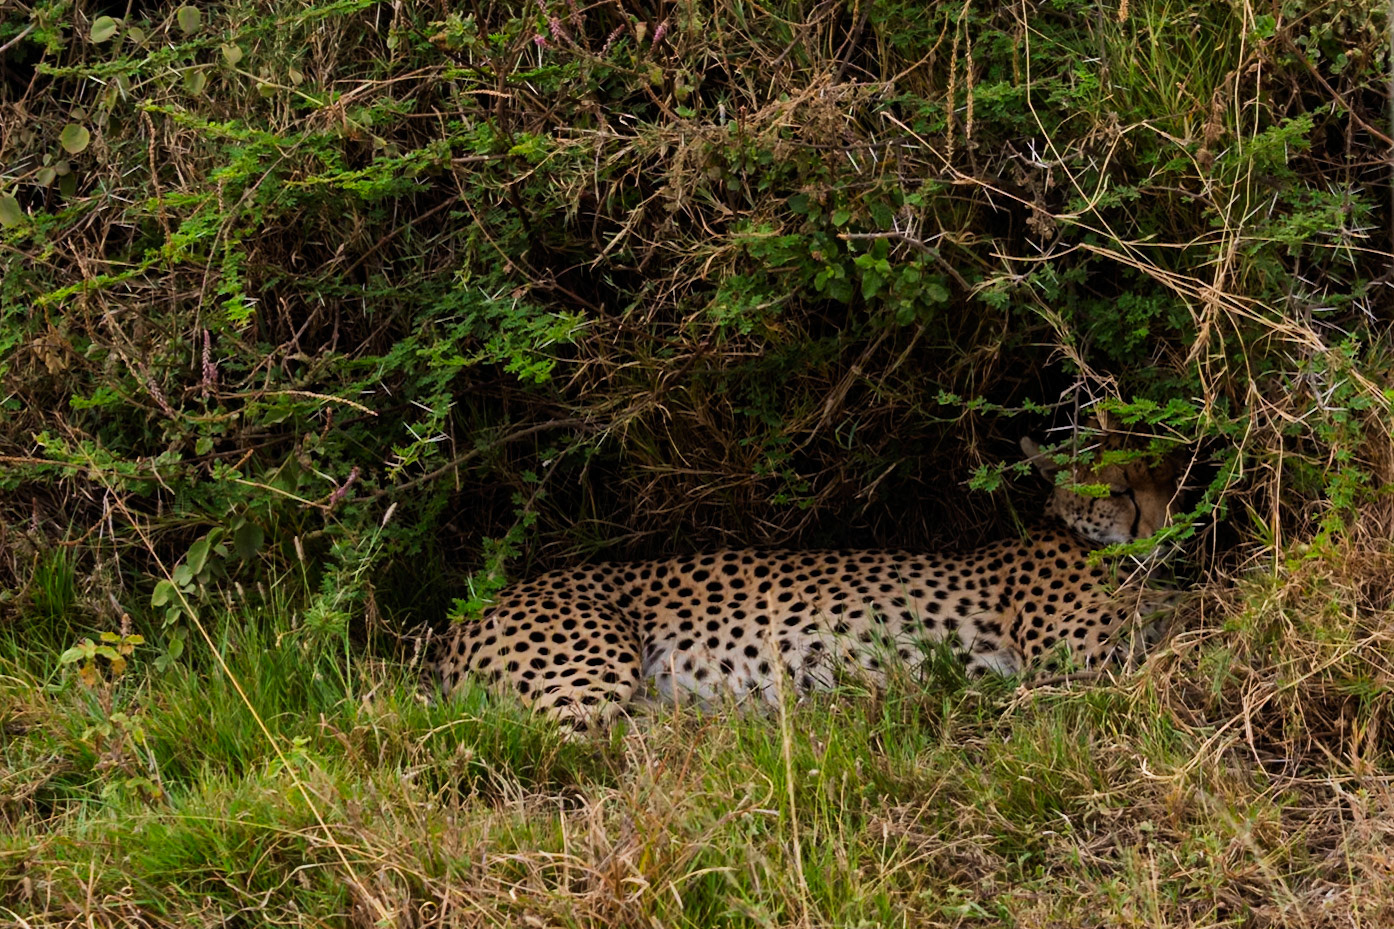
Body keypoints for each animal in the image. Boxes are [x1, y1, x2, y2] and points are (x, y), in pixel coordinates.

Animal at [432, 424, 1182, 734]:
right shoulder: (1076, 664)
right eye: (1118, 488)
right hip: (591, 677)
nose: (1161, 525)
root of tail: (464, 620)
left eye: (1167, 476)